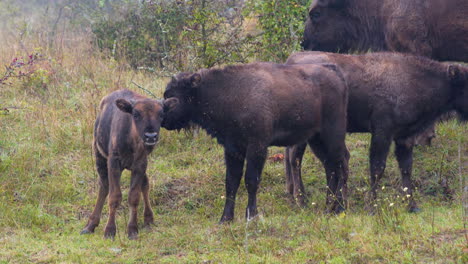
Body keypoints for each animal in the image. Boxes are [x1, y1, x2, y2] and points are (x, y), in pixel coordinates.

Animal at [81, 88, 165, 239]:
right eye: (135, 114)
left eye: (161, 114)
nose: (150, 136)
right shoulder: (114, 163)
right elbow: (114, 196)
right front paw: (109, 231)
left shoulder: (140, 164)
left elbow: (134, 196)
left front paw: (132, 230)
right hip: (99, 156)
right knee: (104, 186)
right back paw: (90, 225)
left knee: (145, 184)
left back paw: (148, 219)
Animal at [163, 62, 350, 221]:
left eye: (174, 97)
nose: (163, 120)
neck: (228, 92)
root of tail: (334, 71)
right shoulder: (232, 149)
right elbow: (231, 182)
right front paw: (225, 219)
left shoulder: (257, 147)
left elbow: (251, 180)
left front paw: (251, 216)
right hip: (316, 139)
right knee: (330, 168)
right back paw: (328, 208)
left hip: (333, 135)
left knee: (341, 164)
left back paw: (339, 209)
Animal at [284, 51, 468, 212]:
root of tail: (291, 60)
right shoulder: (382, 132)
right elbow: (378, 168)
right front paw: (371, 206)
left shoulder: (404, 137)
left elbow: (406, 169)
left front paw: (412, 206)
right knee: (295, 158)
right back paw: (301, 200)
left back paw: (294, 196)